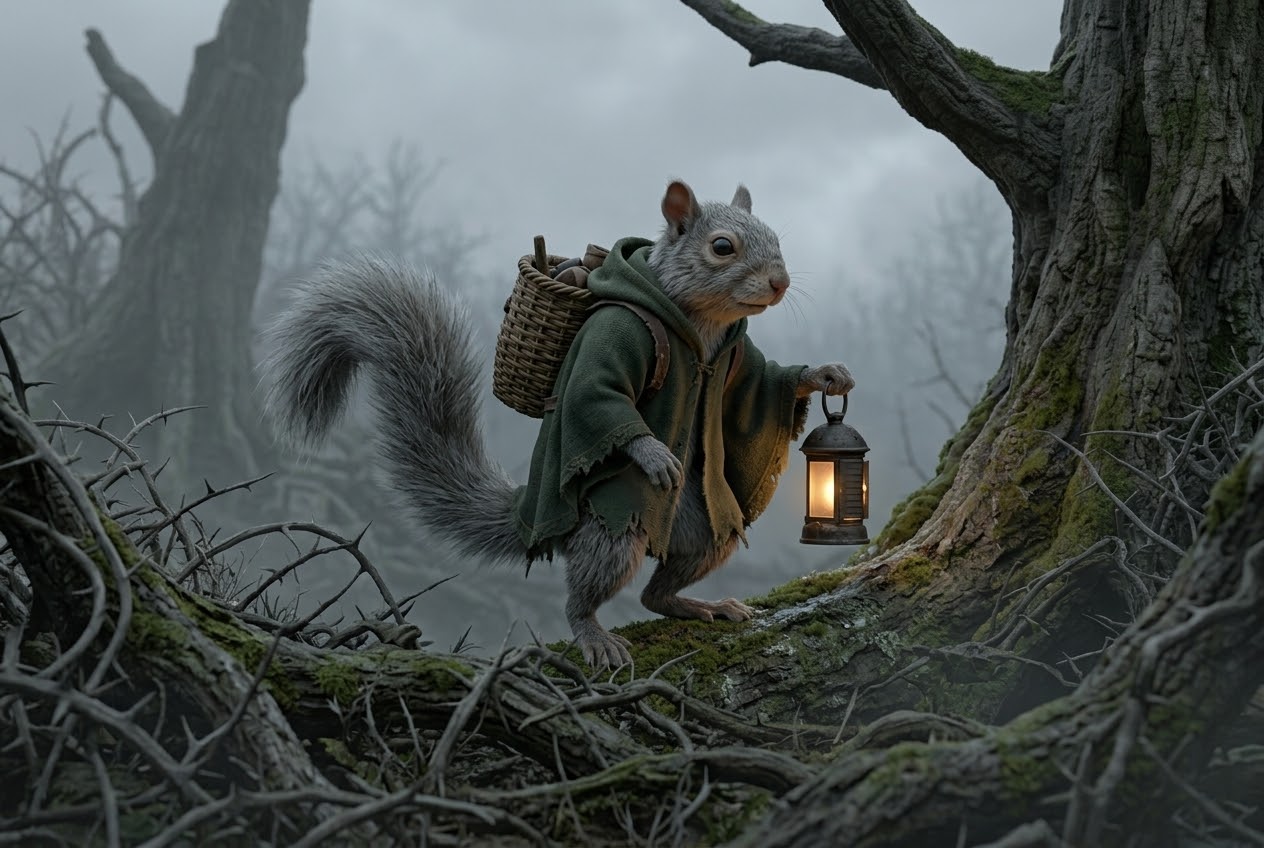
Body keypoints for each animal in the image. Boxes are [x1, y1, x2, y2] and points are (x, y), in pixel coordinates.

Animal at [262, 179, 854, 668]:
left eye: (775, 237)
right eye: (722, 247)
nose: (779, 283)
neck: (702, 326)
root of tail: (532, 518)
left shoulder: (738, 361)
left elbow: (763, 378)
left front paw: (823, 374)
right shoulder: (617, 335)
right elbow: (602, 396)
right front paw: (653, 453)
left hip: (708, 525)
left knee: (657, 591)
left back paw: (699, 604)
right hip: (614, 528)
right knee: (584, 595)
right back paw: (594, 634)